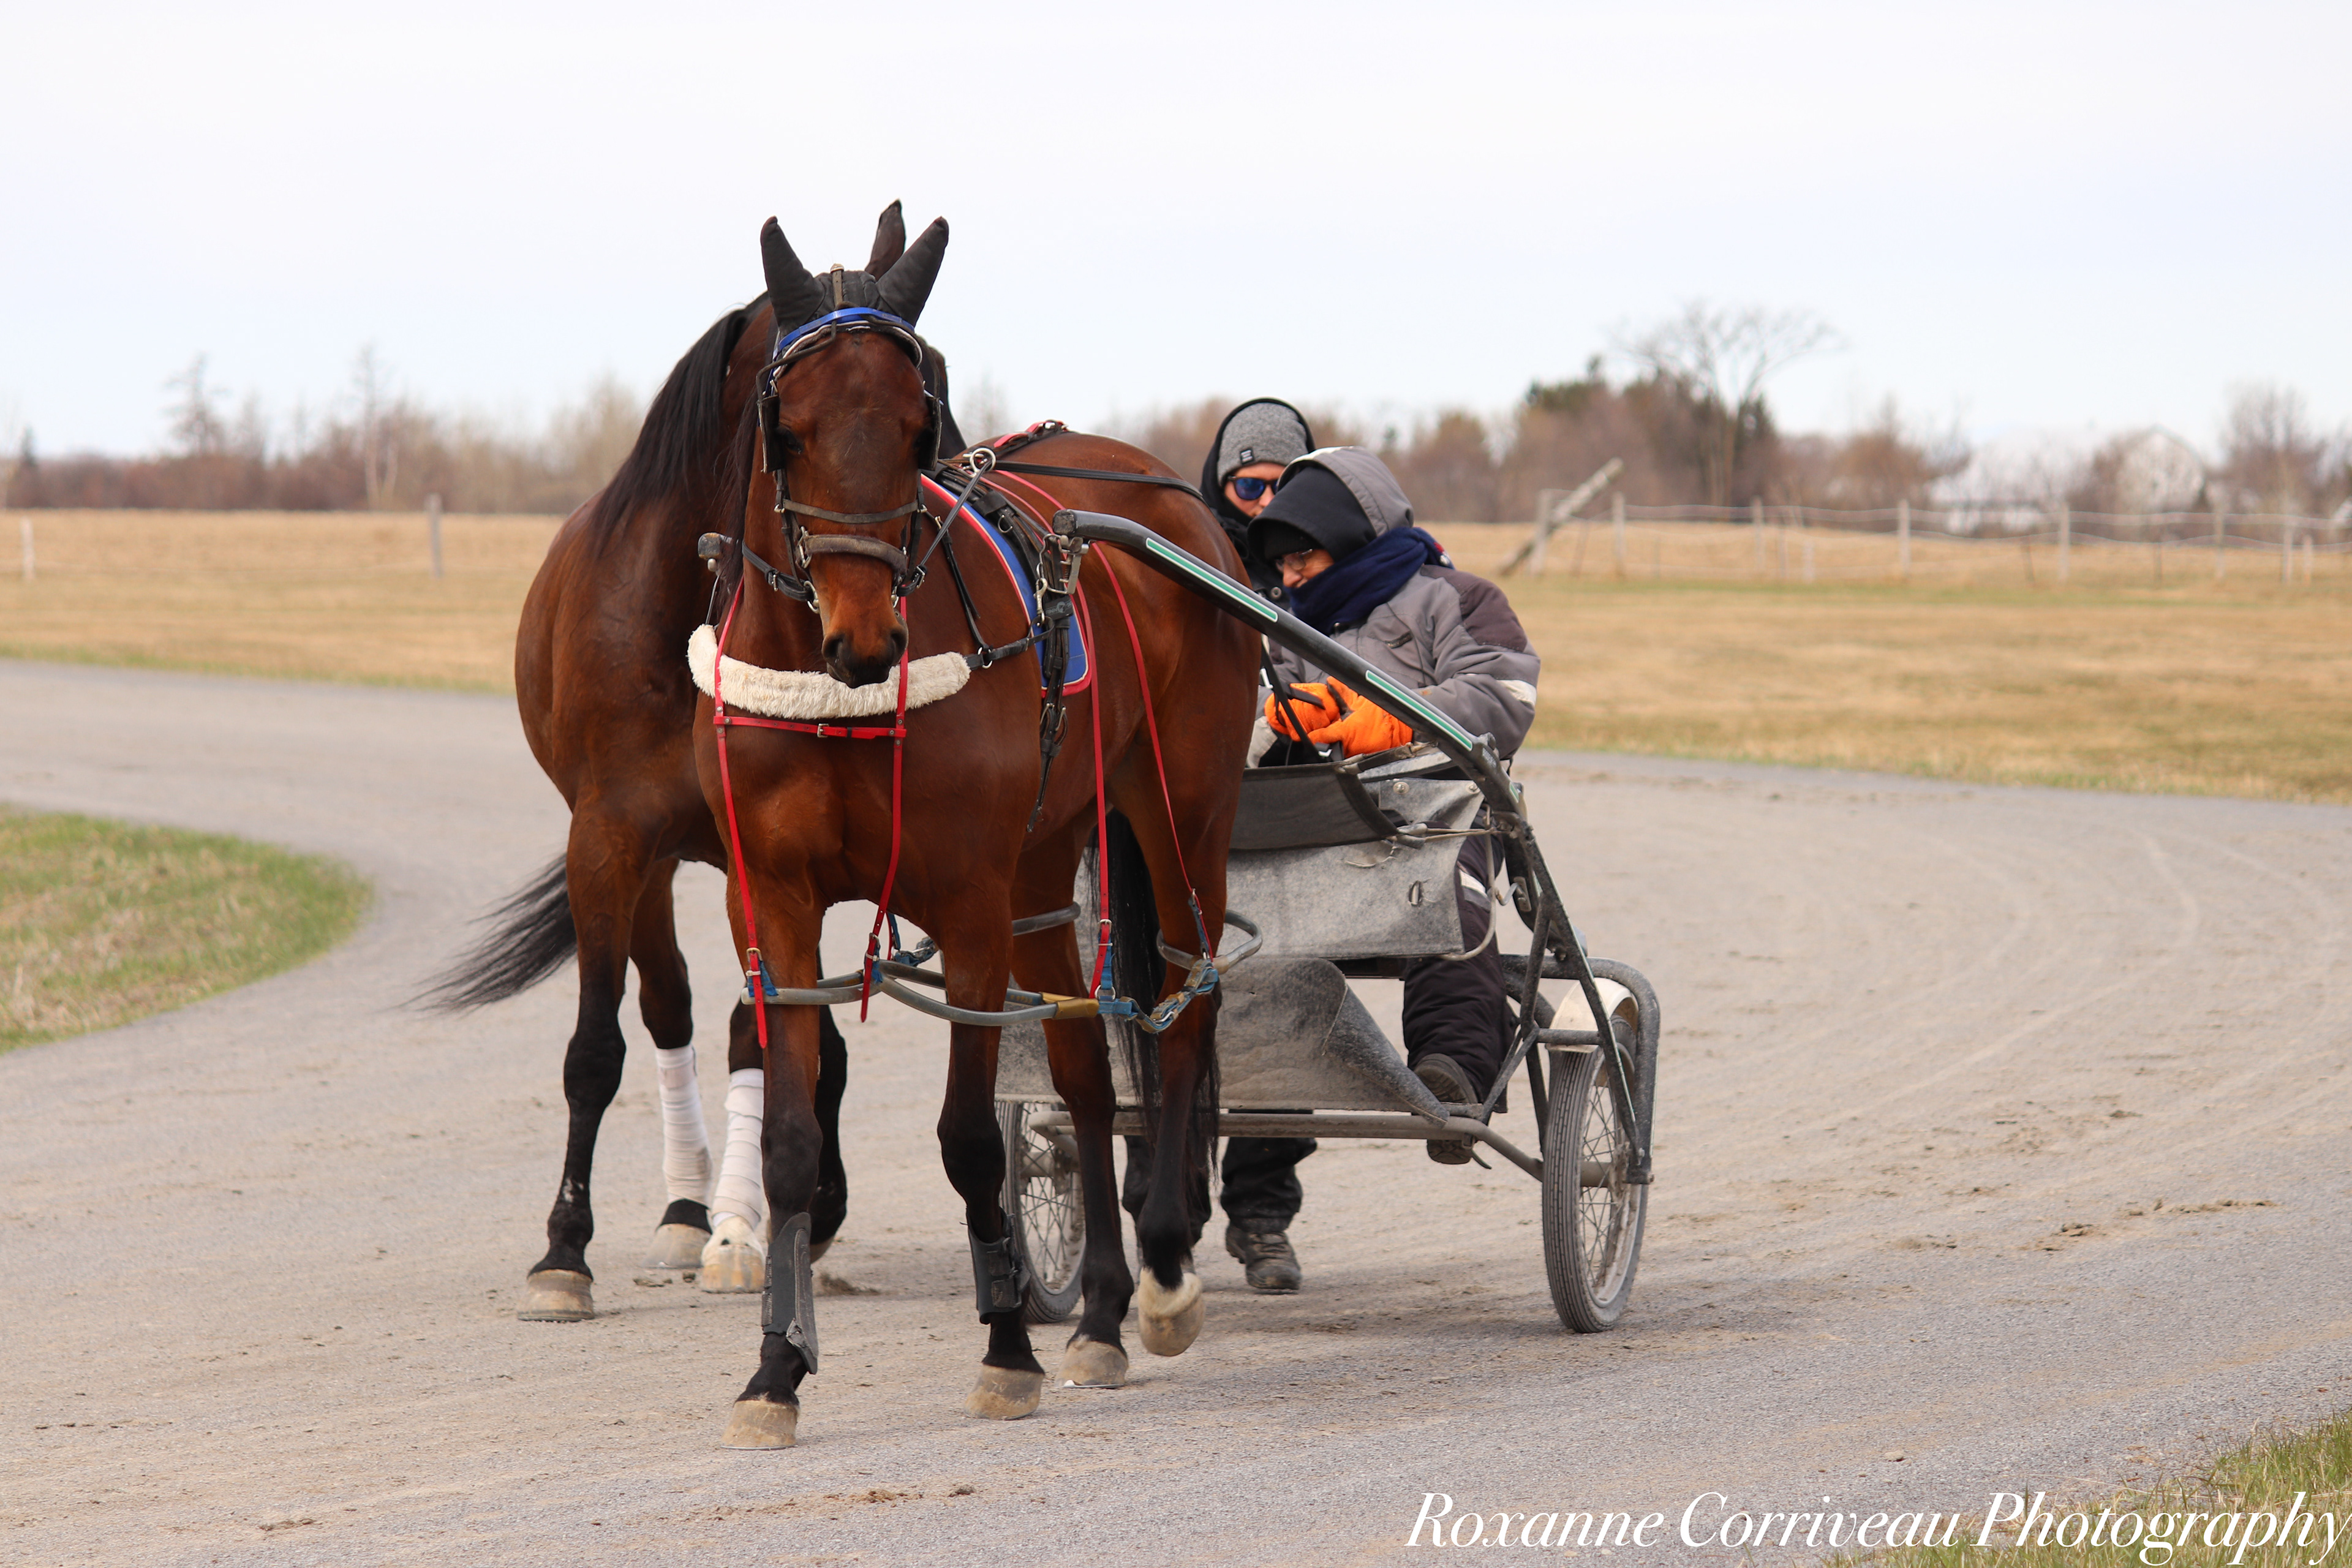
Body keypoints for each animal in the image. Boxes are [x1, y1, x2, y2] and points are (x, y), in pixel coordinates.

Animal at [424, 205, 959, 1322]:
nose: (878, 627)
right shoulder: (611, 834)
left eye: (925, 407)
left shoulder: (771, 851)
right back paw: (682, 1209)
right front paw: (565, 1251)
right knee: (667, 1001)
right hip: (654, 860)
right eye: (786, 427)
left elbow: (767, 1032)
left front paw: (743, 1231)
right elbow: (600, 1045)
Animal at [694, 212, 1256, 1448]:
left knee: (1188, 998)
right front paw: (774, 1370)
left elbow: (967, 1139)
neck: (842, 699)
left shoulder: (966, 905)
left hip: (1179, 809)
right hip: (1047, 862)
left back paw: (1165, 1271)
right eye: (789, 431)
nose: (866, 639)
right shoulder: (774, 903)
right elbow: (792, 1144)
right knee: (1085, 1066)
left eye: (920, 427)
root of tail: (1163, 493)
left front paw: (1006, 1348)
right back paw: (1099, 1316)